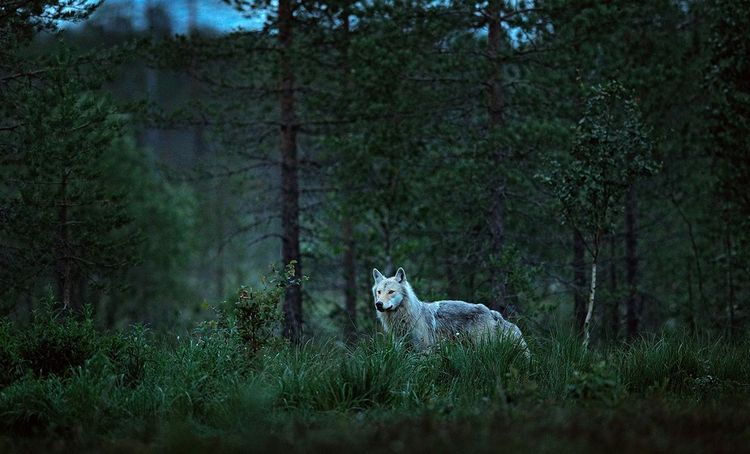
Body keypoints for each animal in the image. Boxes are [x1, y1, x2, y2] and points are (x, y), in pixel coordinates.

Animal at [372, 267, 528, 354]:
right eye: (379, 292)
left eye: (391, 292)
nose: (378, 304)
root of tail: (491, 312)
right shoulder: (401, 348)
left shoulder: (424, 349)